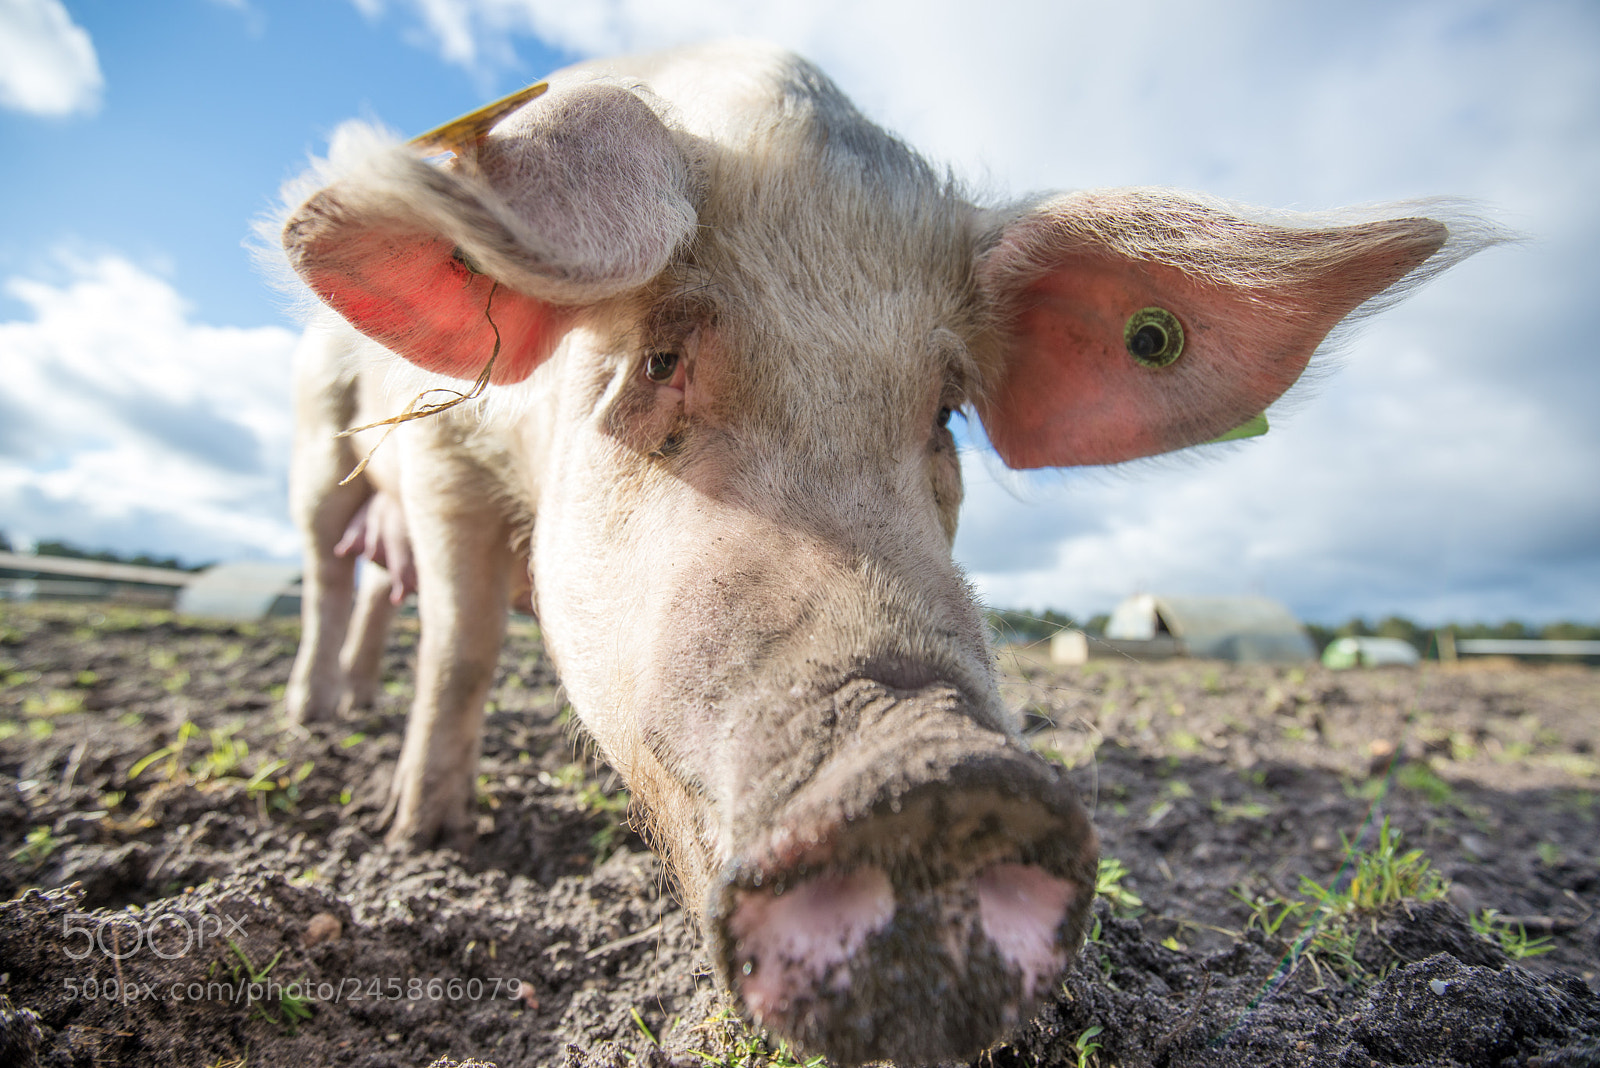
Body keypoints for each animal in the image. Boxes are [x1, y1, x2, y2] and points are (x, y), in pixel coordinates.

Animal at [274, 41, 1493, 1066]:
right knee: (339, 577)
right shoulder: (440, 452)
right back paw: (314, 720)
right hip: (319, 448)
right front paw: (423, 838)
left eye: (946, 407)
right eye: (661, 358)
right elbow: (465, 647)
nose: (931, 774)